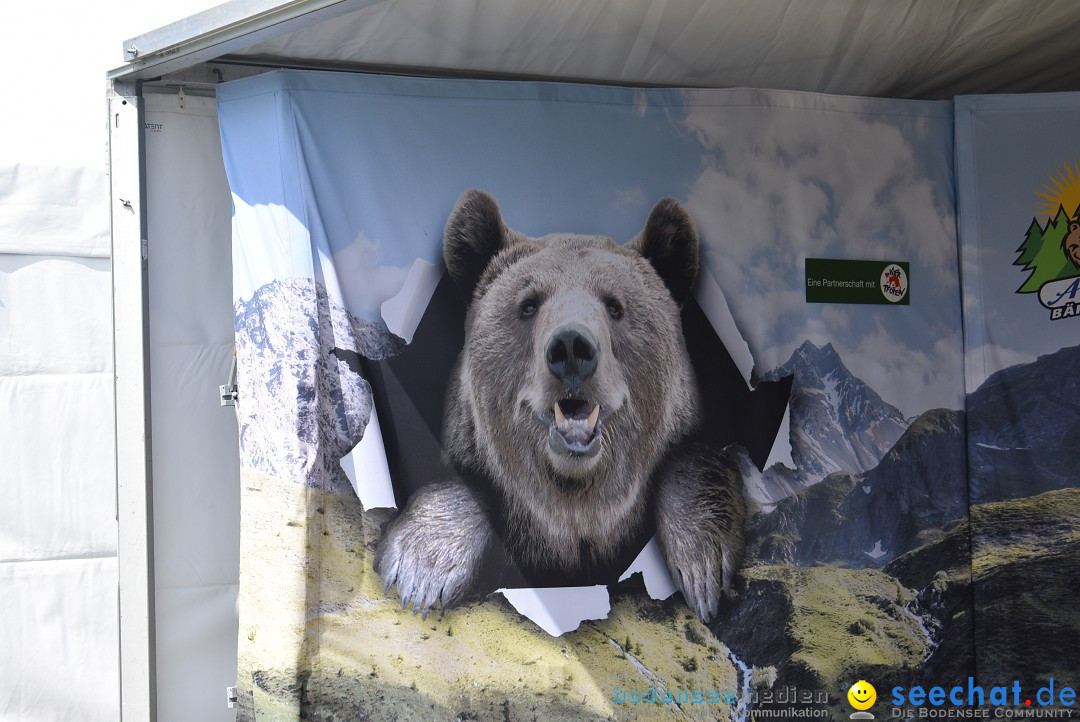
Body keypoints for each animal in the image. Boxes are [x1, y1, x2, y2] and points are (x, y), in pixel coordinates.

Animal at [375, 188, 747, 621]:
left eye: (615, 305)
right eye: (528, 304)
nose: (571, 347)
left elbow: (694, 457)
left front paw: (703, 565)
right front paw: (422, 567)